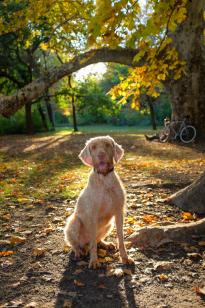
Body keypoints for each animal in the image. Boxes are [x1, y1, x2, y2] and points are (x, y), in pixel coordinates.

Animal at [64, 136, 135, 268]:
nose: (101, 155)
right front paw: (94, 261)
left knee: (96, 240)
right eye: (93, 147)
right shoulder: (92, 216)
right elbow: (92, 243)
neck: (105, 179)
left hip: (109, 224)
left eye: (107, 144)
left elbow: (121, 238)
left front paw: (125, 258)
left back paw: (105, 244)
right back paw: (79, 251)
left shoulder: (119, 213)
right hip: (74, 222)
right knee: (77, 244)